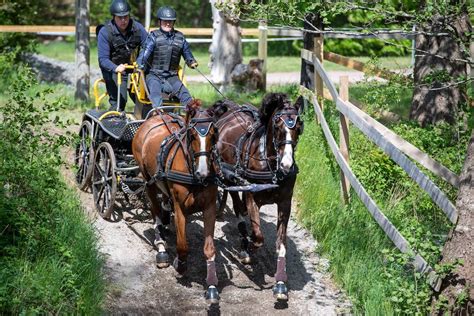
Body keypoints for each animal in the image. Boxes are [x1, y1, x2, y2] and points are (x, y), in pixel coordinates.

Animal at [131, 102, 220, 302]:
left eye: (213, 134)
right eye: (192, 134)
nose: (204, 172)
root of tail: (156, 117)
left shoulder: (210, 207)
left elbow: (209, 248)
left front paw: (212, 286)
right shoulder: (180, 207)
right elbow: (182, 245)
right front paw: (180, 264)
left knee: (163, 203)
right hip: (148, 181)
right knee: (155, 211)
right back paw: (161, 247)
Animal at [212, 93, 304, 302]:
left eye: (299, 127)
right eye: (277, 125)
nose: (287, 164)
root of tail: (230, 108)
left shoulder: (285, 203)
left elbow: (281, 244)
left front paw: (281, 284)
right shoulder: (252, 197)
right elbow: (259, 236)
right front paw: (251, 247)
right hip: (231, 178)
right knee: (238, 207)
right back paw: (244, 246)